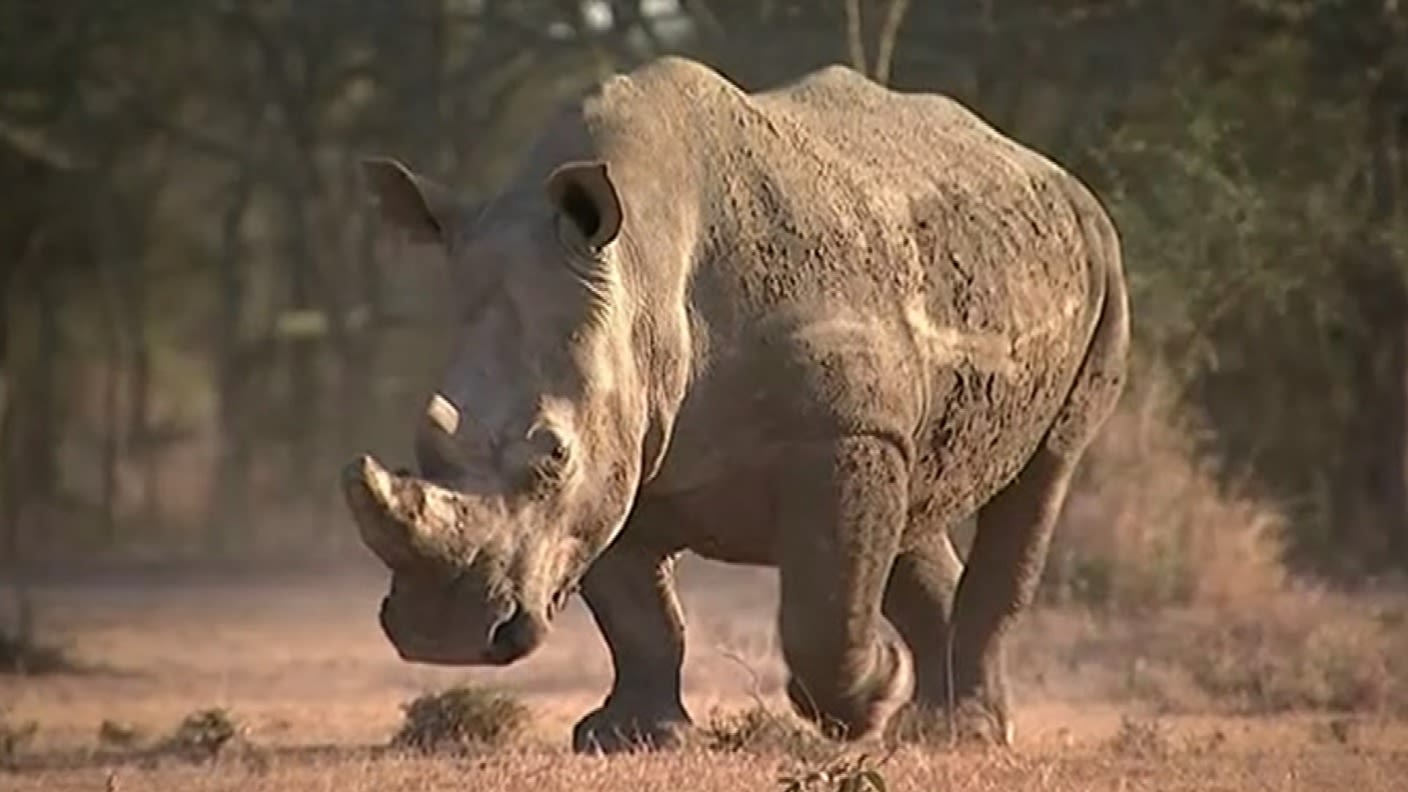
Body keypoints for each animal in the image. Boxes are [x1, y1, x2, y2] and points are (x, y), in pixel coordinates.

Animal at [346, 57, 1126, 749]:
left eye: (553, 454)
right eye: (425, 439)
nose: (443, 636)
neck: (640, 276)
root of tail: (1049, 170)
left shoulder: (841, 432)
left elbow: (823, 599)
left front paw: (873, 695)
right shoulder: (625, 442)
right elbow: (640, 617)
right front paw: (630, 738)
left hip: (1102, 261)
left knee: (1042, 475)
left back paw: (961, 731)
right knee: (916, 495)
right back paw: (935, 723)